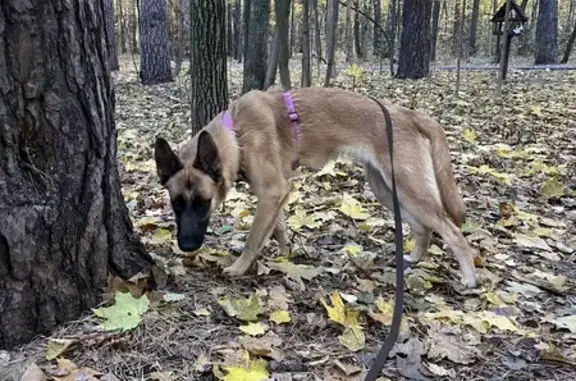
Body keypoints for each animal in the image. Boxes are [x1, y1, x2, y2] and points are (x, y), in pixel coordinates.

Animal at [152, 86, 476, 286]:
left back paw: (470, 277)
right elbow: (277, 228)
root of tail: (408, 114)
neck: (237, 135)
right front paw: (285, 254)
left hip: (408, 188)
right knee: (424, 228)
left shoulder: (271, 191)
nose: (186, 247)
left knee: (452, 230)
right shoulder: (275, 195)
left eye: (203, 203)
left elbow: (254, 238)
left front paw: (239, 268)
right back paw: (414, 259)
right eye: (176, 203)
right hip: (387, 189)